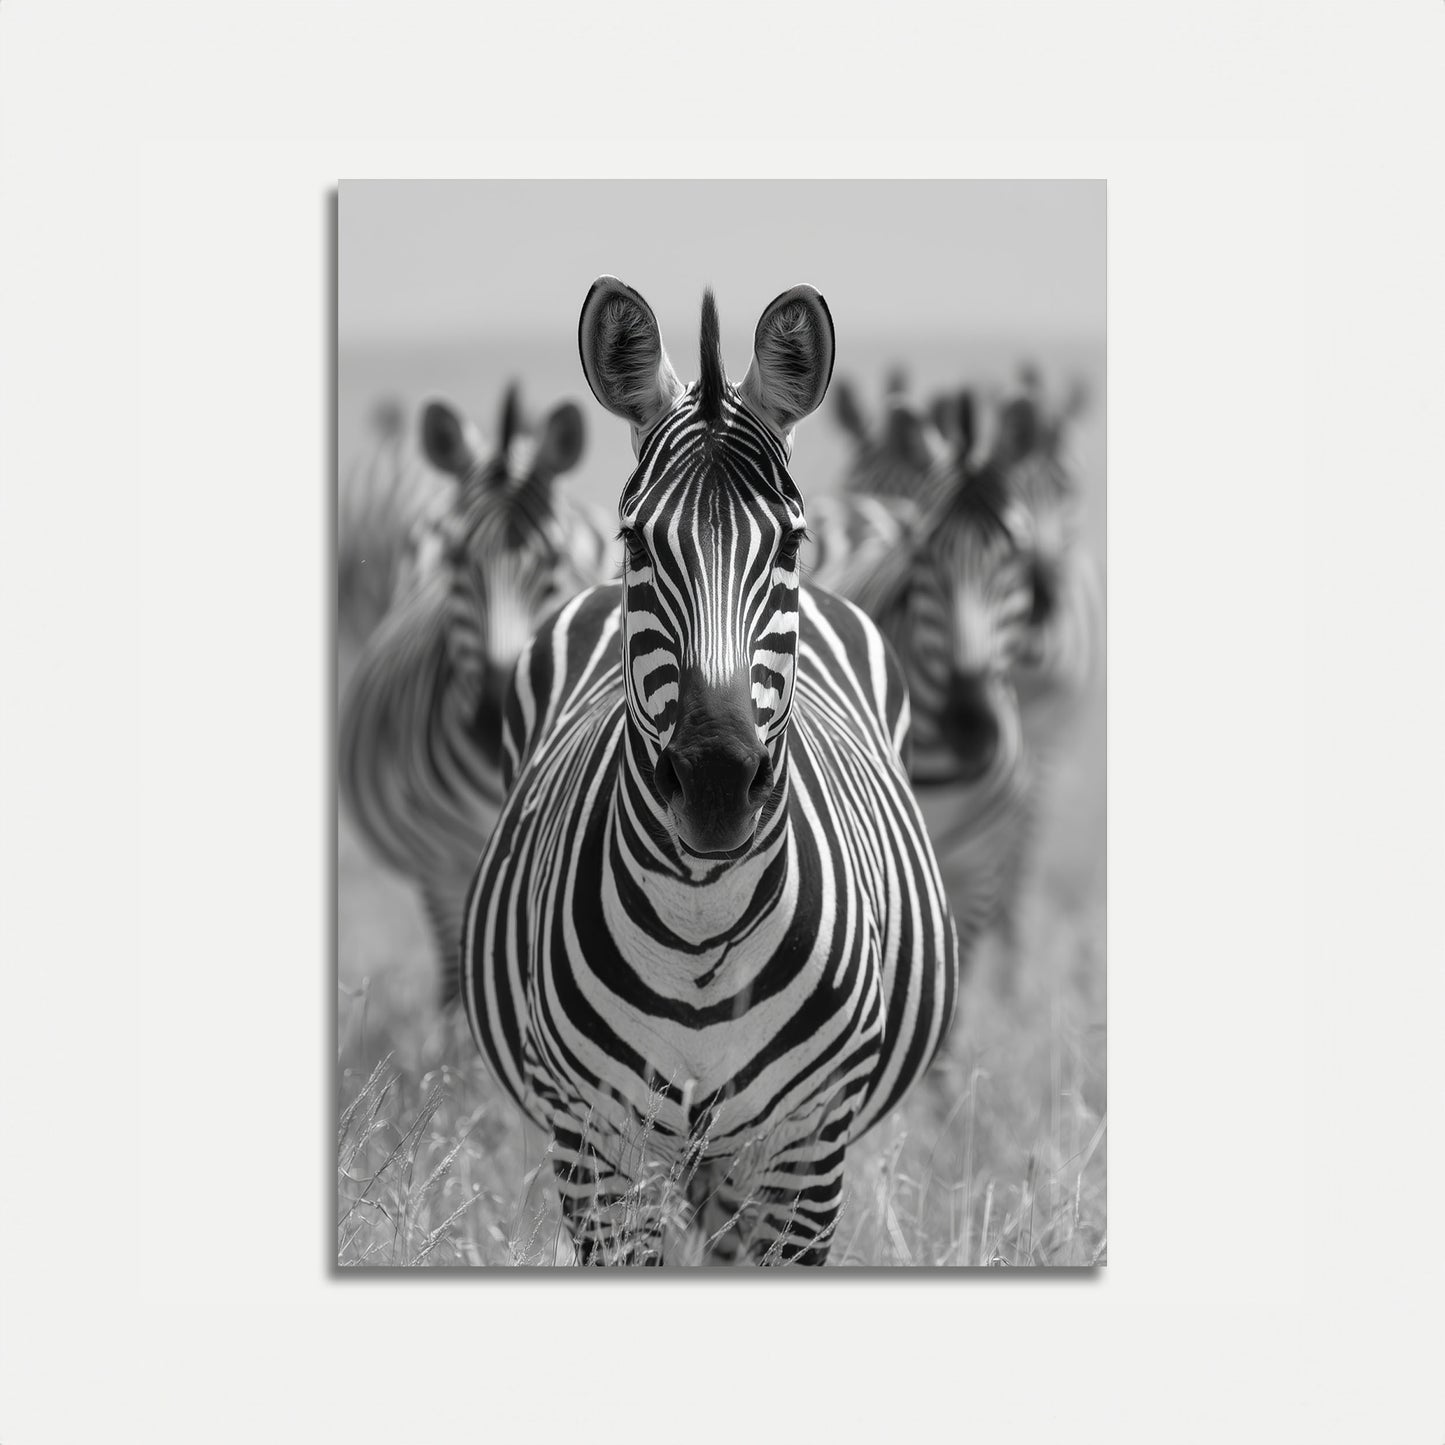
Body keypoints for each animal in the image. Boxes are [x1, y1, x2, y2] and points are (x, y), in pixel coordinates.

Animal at [461, 279, 959, 1265]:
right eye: (635, 543)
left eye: (790, 546)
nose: (718, 785)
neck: (702, 920)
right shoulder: (597, 1147)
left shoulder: (806, 1146)